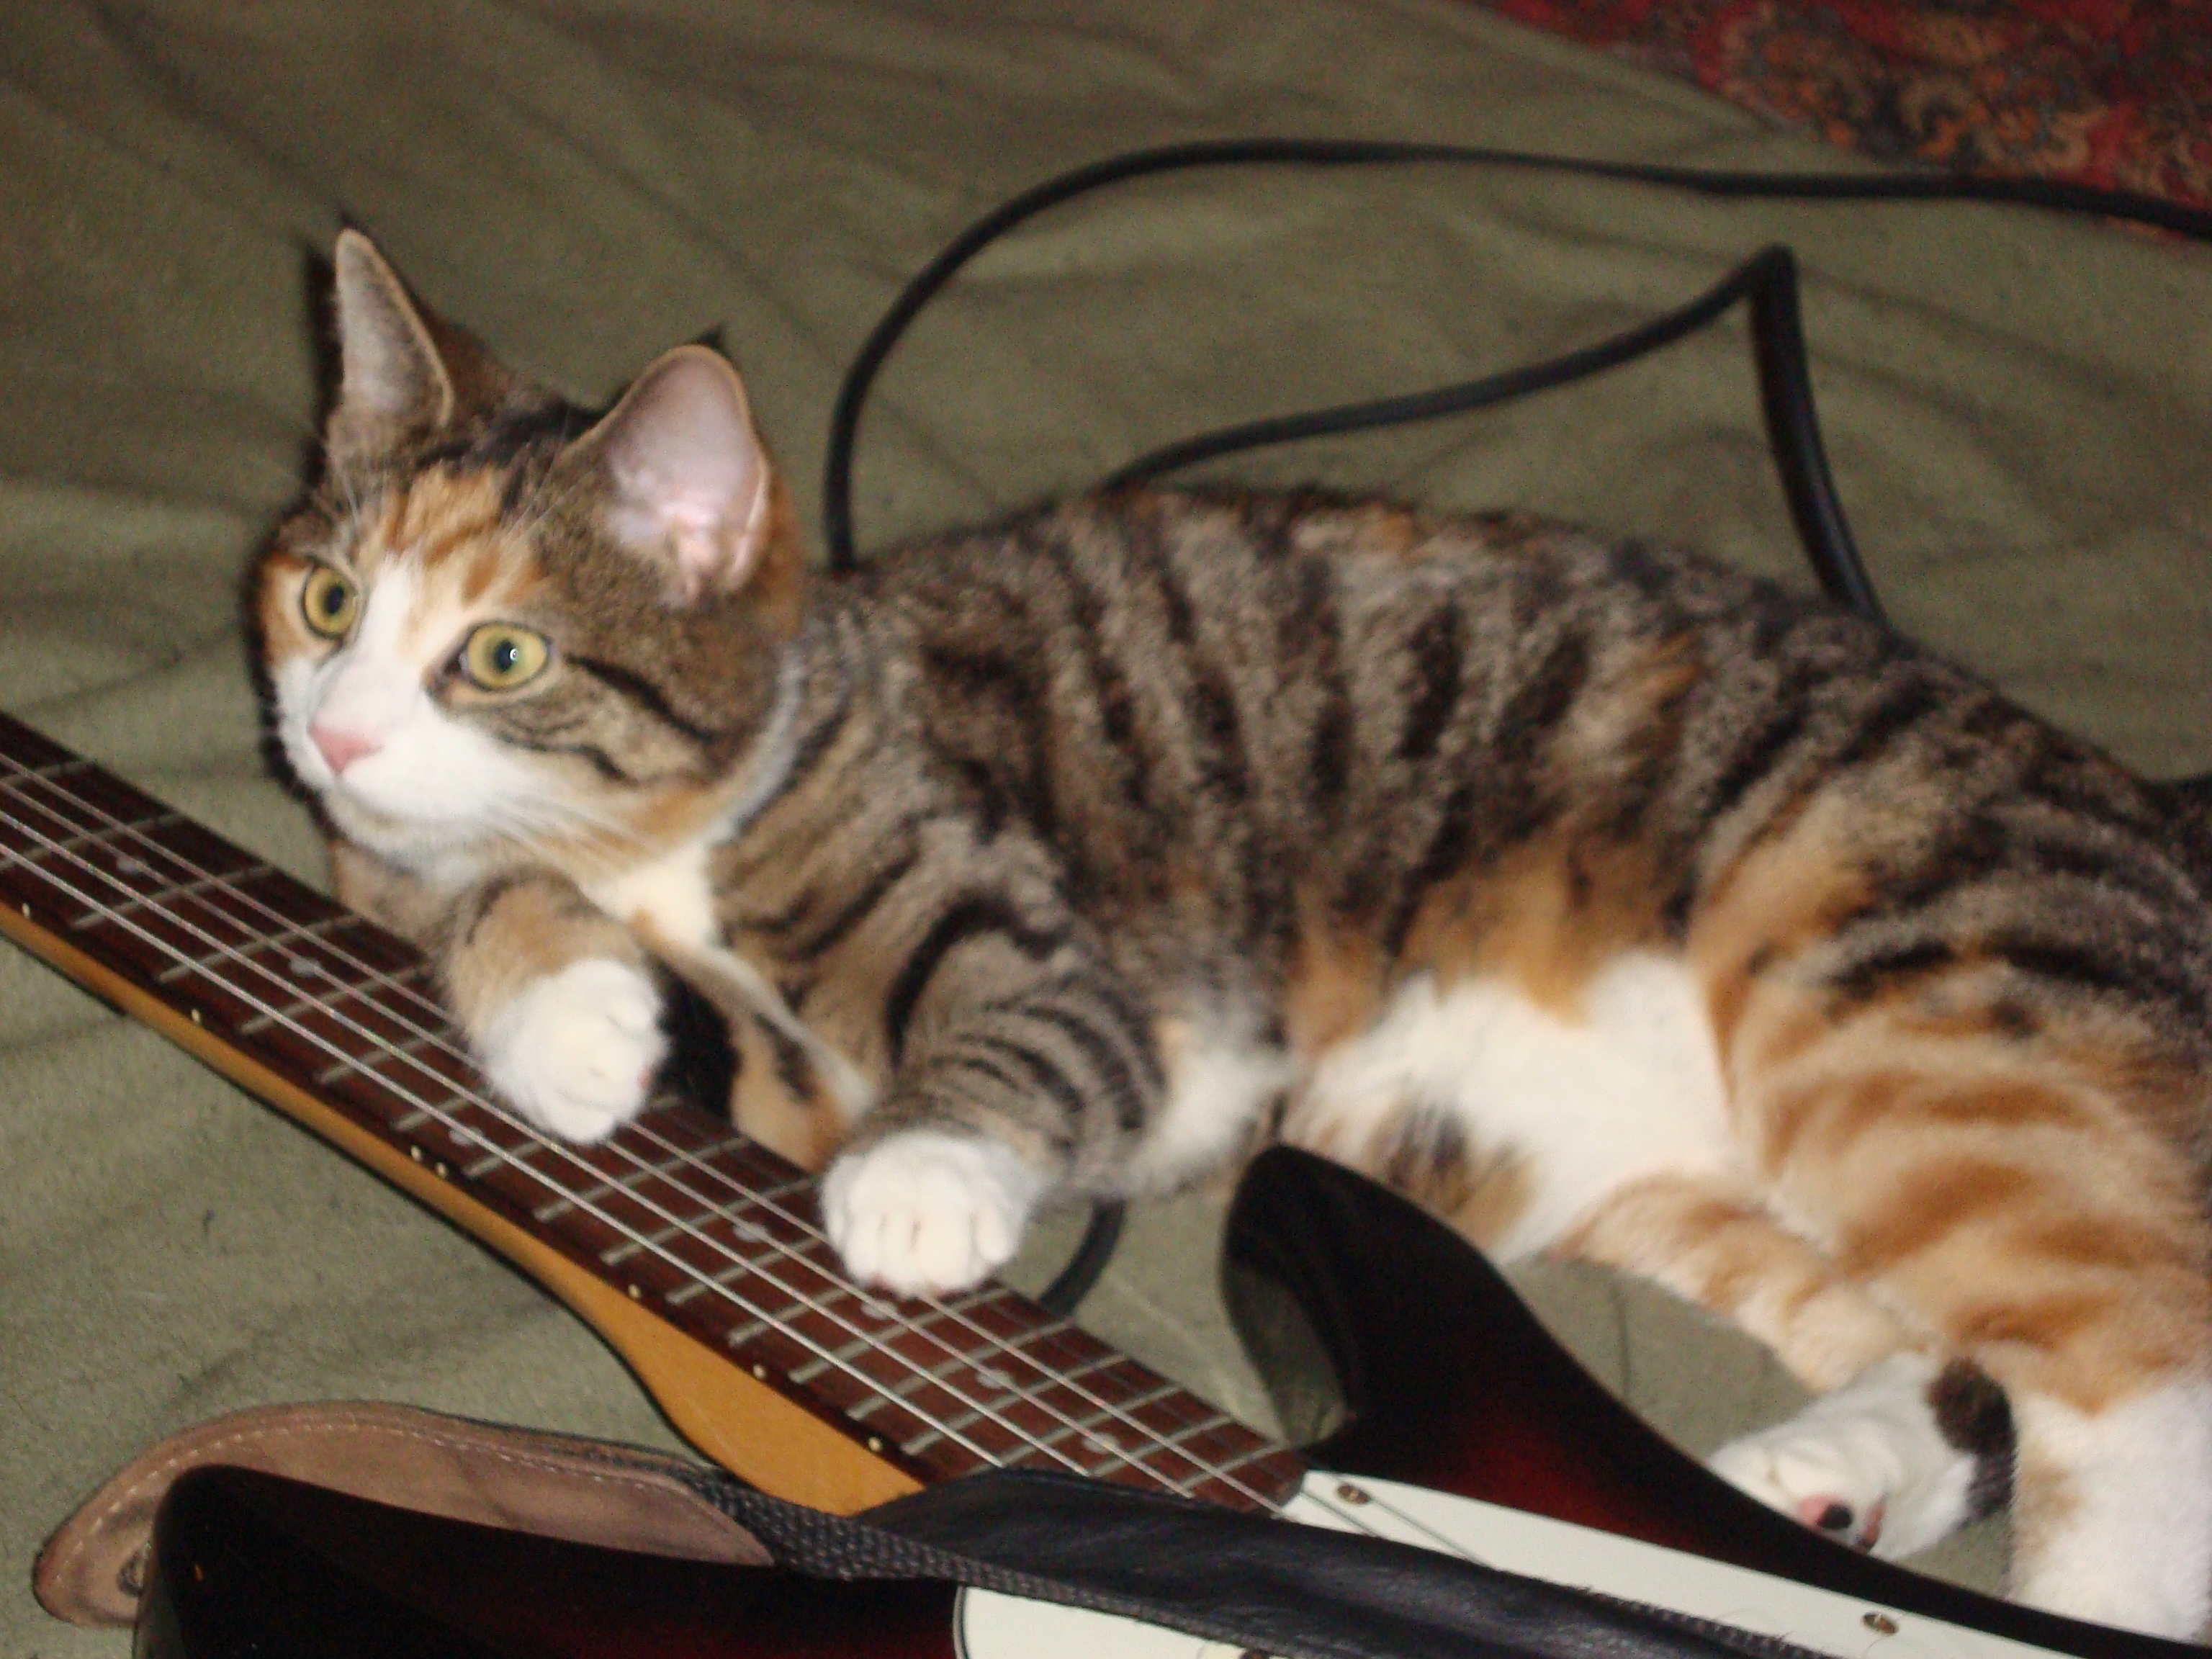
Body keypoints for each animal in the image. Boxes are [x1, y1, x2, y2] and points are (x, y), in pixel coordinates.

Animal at [252, 231, 2212, 1640]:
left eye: (501, 654)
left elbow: (1018, 1029)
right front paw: (565, 1010)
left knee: (2140, 1381)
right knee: (1965, 1363)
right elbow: (473, 900)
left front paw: (914, 1179)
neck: (687, 818)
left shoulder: (1053, 949)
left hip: (1905, 998)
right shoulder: (733, 1059)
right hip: (1657, 1173)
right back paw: (1827, 1481)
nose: (333, 730)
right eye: (327, 599)